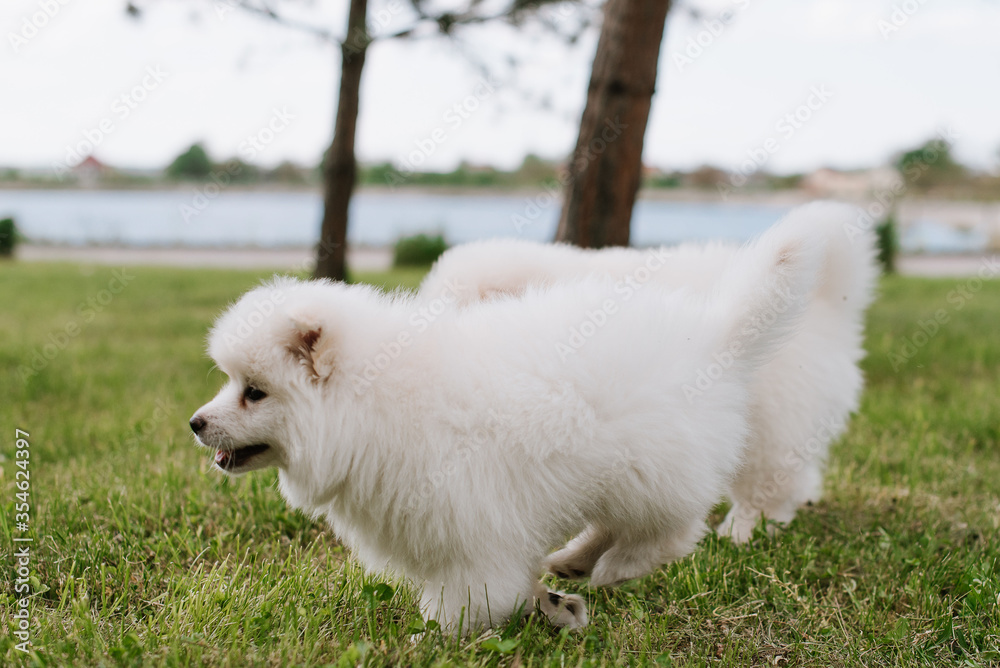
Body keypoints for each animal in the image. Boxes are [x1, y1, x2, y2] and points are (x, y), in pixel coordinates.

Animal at [193, 222, 820, 636]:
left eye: (255, 391)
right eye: (229, 381)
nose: (197, 423)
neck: (378, 401)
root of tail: (713, 336)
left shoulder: (471, 529)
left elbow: (467, 602)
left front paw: (432, 638)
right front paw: (552, 604)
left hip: (652, 470)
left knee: (669, 531)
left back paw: (614, 567)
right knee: (618, 524)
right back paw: (574, 562)